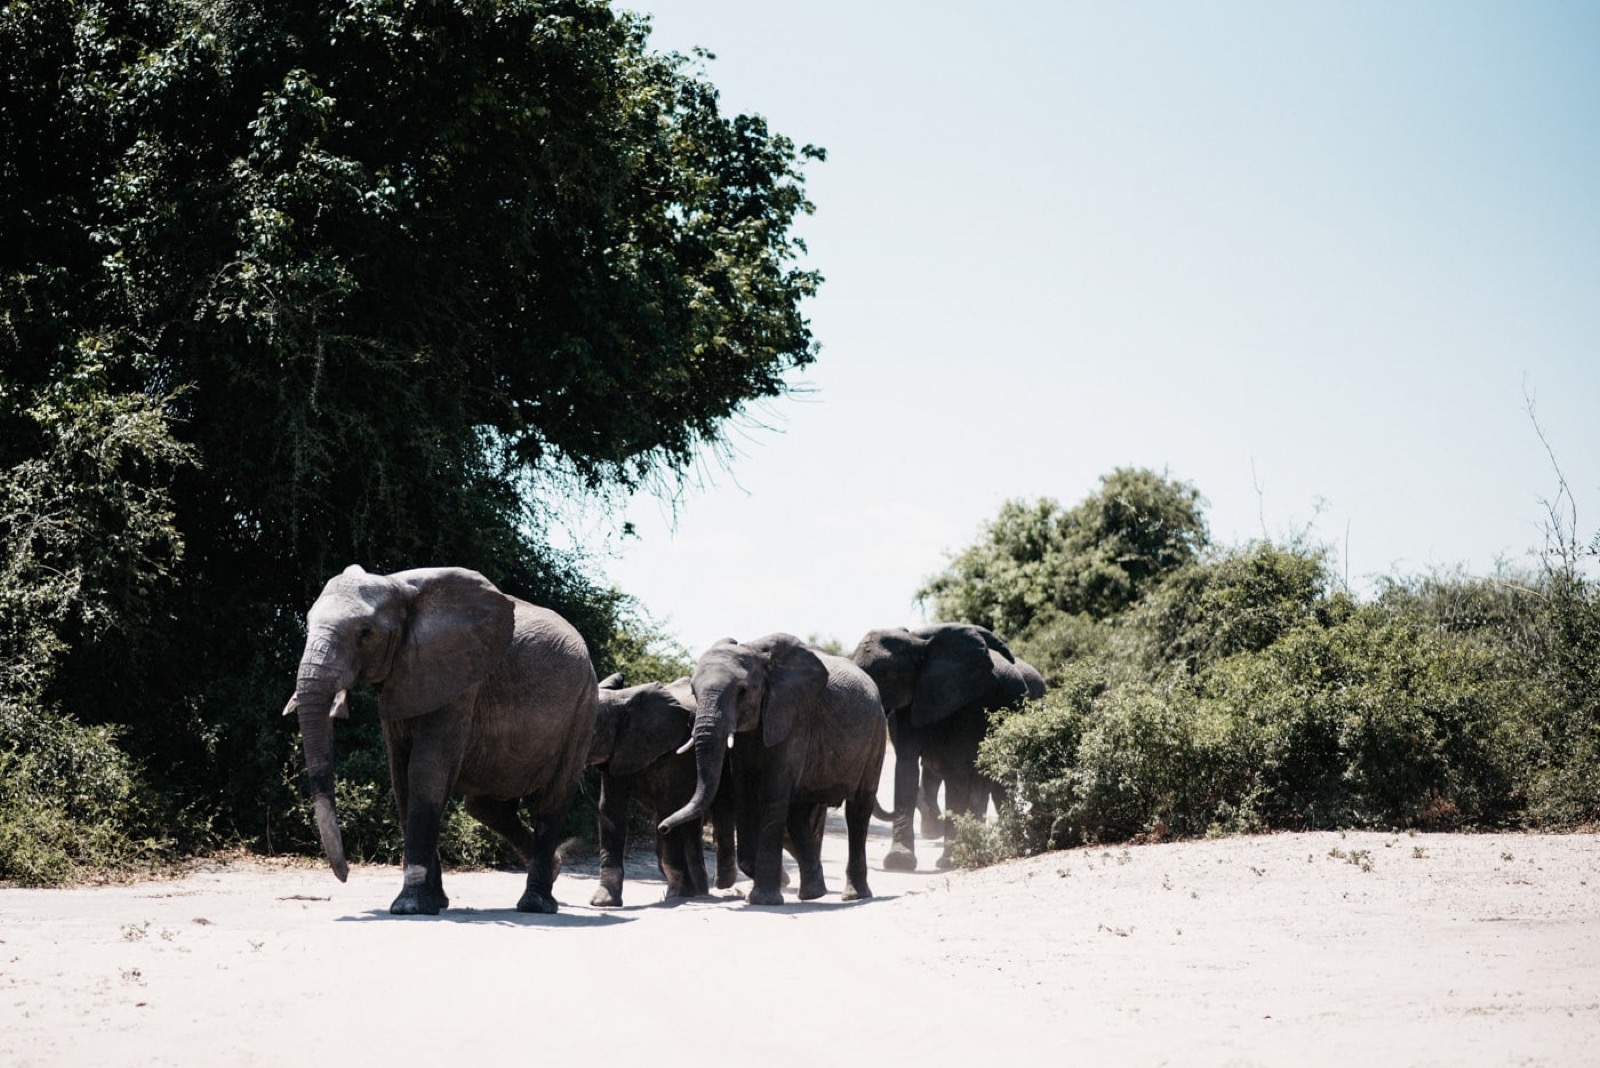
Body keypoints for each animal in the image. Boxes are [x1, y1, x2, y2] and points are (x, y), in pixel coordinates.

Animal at [281, 565, 596, 916]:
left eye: (365, 632)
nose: (345, 875)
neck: (397, 586)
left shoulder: (460, 679)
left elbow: (425, 772)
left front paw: (409, 907)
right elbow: (401, 779)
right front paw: (433, 902)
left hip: (583, 707)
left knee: (552, 801)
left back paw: (536, 904)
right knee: (486, 808)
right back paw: (554, 869)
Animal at [587, 672, 709, 907]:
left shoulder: (676, 753)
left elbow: (669, 808)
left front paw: (677, 896)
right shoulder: (618, 750)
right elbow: (611, 809)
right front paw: (604, 902)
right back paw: (699, 892)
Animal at [658, 634, 886, 906]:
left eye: (742, 691)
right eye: (693, 691)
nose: (662, 827)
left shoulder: (791, 718)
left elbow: (773, 793)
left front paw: (764, 900)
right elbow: (745, 795)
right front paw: (768, 885)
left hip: (876, 734)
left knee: (858, 810)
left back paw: (854, 895)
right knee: (799, 811)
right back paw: (813, 893)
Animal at [851, 623, 1045, 871]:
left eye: (885, 674)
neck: (920, 646)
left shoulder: (968, 703)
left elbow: (956, 770)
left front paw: (949, 862)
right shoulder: (910, 702)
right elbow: (906, 766)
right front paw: (899, 862)